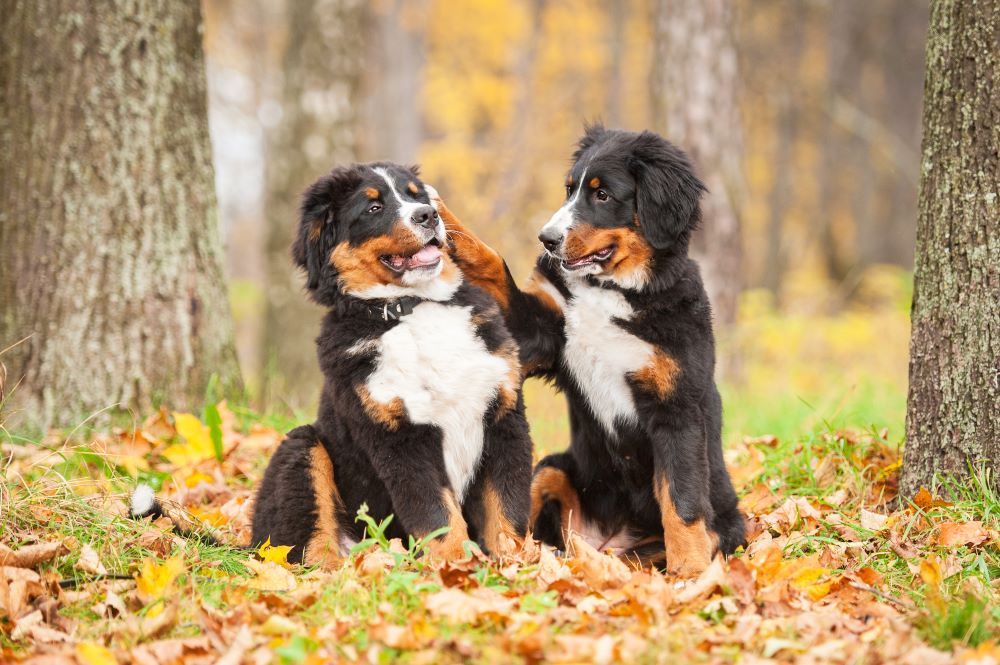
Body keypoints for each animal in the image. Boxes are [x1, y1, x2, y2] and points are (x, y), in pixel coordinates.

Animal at [248, 162, 532, 564]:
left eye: (417, 195)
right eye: (374, 208)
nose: (427, 215)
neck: (415, 307)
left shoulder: (504, 414)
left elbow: (506, 510)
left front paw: (517, 566)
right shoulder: (397, 436)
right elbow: (437, 514)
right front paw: (455, 567)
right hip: (302, 448)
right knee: (309, 548)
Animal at [434, 126, 748, 576]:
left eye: (602, 195)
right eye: (570, 190)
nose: (547, 239)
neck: (612, 290)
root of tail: (606, 541)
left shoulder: (676, 405)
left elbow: (682, 500)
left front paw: (691, 572)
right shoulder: (541, 332)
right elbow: (493, 264)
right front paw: (442, 215)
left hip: (722, 526)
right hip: (552, 468)